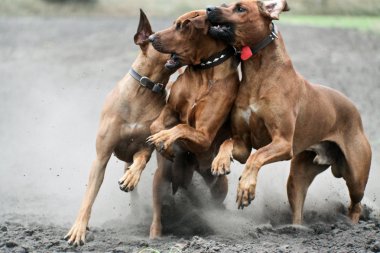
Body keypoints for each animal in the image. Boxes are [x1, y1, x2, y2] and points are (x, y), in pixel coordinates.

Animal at [64, 9, 177, 245]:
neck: (145, 91)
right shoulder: (101, 157)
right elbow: (88, 198)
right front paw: (79, 229)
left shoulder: (145, 146)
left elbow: (141, 160)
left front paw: (132, 177)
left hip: (160, 173)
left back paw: (154, 231)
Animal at [147, 10, 239, 239]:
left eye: (181, 26)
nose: (151, 38)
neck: (203, 72)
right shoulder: (169, 110)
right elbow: (156, 126)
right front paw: (164, 143)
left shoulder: (204, 135)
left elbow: (183, 128)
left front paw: (165, 138)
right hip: (162, 177)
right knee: (158, 206)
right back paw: (155, 233)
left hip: (218, 184)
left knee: (214, 202)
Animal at [208, 0, 372, 223]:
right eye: (226, 3)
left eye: (241, 8)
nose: (208, 8)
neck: (258, 72)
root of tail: (356, 112)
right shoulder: (242, 144)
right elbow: (229, 143)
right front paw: (220, 161)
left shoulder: (283, 143)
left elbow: (256, 157)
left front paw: (246, 187)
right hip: (298, 176)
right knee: (298, 210)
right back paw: (296, 228)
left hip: (356, 177)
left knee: (356, 204)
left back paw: (351, 225)